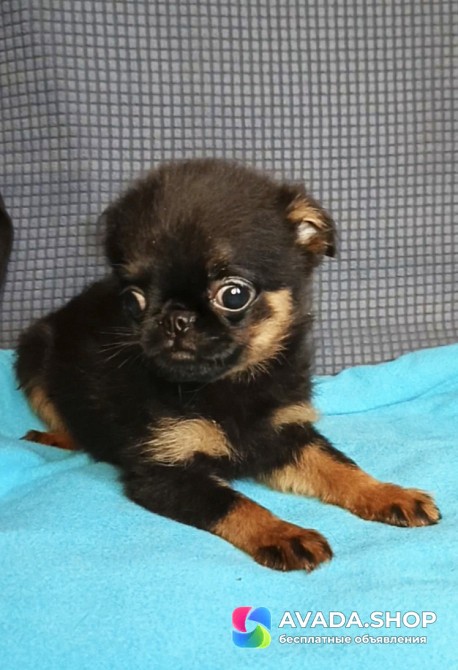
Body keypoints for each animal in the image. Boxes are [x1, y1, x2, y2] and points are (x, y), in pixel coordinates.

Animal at [14, 159, 440, 572]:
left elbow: (338, 465)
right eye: (132, 301)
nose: (175, 319)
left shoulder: (285, 434)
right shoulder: (164, 472)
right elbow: (235, 503)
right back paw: (60, 438)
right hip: (33, 352)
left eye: (233, 295)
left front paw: (387, 493)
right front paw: (284, 534)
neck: (229, 383)